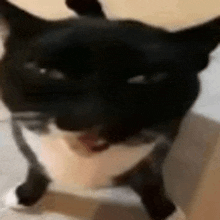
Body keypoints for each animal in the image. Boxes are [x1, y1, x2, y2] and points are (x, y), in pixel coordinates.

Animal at [0, 0, 219, 219]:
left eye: (145, 79)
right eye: (49, 72)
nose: (90, 113)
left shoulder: (155, 153)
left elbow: (151, 182)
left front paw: (166, 211)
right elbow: (35, 170)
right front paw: (24, 196)